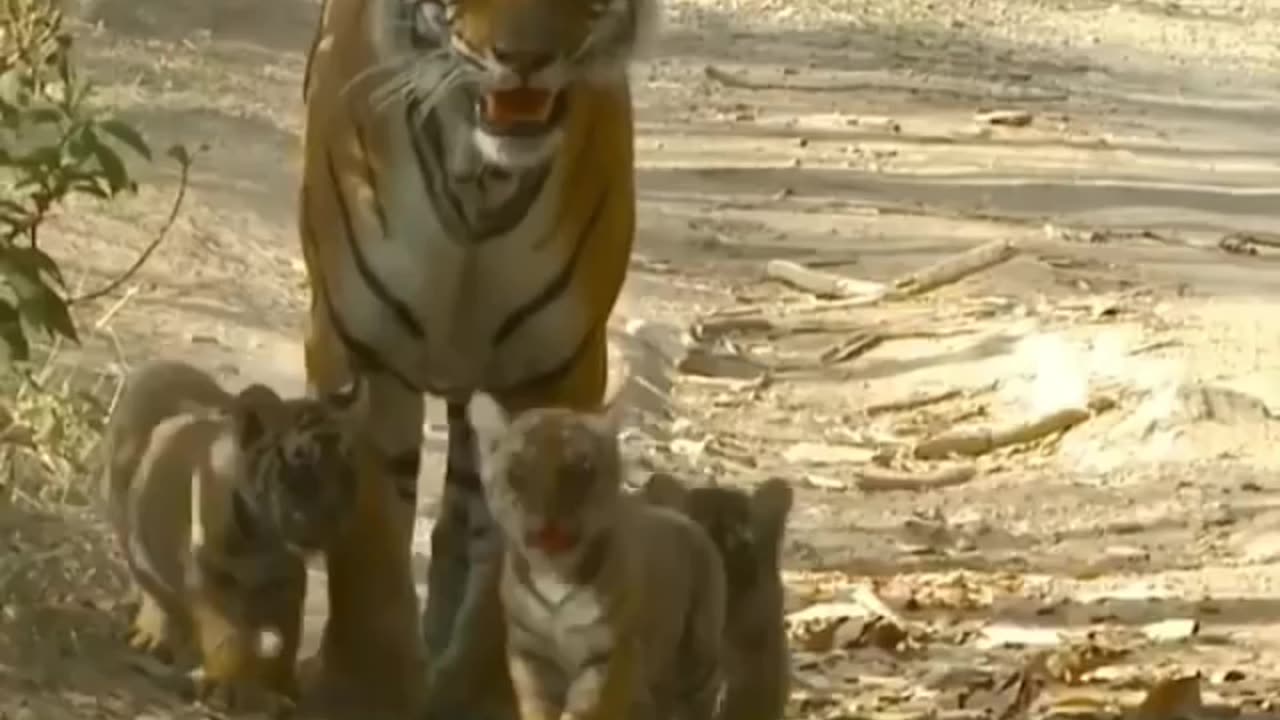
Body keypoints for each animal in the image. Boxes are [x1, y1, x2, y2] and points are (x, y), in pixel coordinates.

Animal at [298, 0, 660, 712]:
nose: (524, 60)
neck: (479, 184)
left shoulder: (557, 368)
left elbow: (509, 551)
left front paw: (481, 691)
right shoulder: (357, 353)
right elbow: (373, 537)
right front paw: (369, 684)